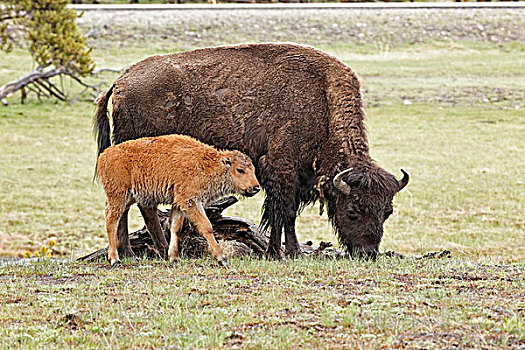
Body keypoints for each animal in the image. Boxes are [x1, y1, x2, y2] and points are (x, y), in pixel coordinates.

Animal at [96, 133, 260, 266]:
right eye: (240, 170)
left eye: (253, 169)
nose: (256, 187)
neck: (209, 164)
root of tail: (104, 156)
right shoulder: (190, 201)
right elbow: (206, 227)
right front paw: (222, 258)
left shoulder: (178, 203)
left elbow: (175, 228)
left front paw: (173, 258)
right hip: (118, 196)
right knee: (111, 221)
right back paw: (115, 260)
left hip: (128, 198)